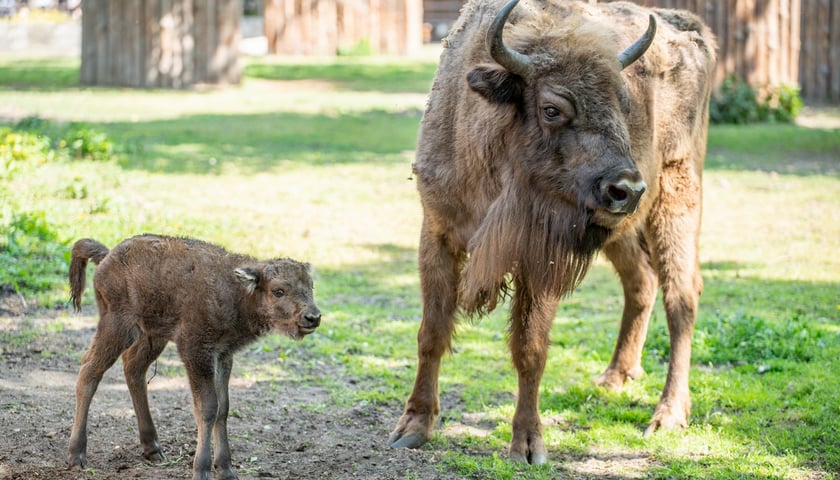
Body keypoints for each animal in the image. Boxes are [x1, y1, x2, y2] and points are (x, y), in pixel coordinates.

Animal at [65, 234, 320, 480]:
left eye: (311, 287)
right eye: (279, 291)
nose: (313, 317)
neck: (236, 290)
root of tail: (106, 256)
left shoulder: (223, 355)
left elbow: (223, 408)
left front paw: (226, 470)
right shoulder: (196, 352)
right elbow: (207, 408)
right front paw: (202, 470)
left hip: (152, 336)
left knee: (133, 368)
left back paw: (153, 449)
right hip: (117, 326)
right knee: (89, 371)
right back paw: (77, 456)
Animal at [388, 0, 716, 464]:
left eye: (624, 103)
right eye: (552, 109)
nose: (627, 189)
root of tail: (691, 31)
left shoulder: (539, 259)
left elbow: (530, 348)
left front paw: (528, 444)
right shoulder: (437, 233)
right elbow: (431, 333)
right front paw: (413, 426)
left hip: (677, 199)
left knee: (681, 298)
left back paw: (667, 415)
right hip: (620, 230)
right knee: (642, 282)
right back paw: (614, 377)